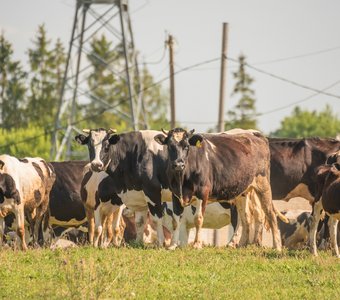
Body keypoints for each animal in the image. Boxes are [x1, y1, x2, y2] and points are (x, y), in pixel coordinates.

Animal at [154, 127, 282, 250]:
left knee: (270, 213)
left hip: (263, 184)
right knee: (246, 217)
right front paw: (172, 245)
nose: (179, 164)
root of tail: (255, 135)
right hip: (242, 192)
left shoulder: (202, 192)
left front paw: (197, 244)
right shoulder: (175, 194)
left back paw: (277, 246)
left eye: (186, 146)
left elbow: (198, 218)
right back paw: (241, 245)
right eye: (170, 146)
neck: (182, 178)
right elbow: (176, 221)